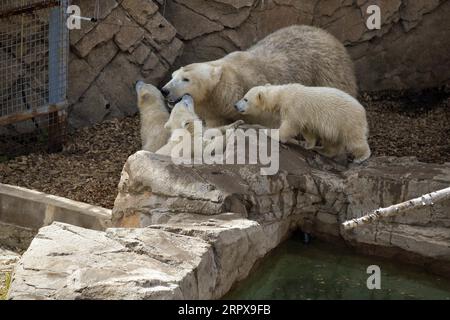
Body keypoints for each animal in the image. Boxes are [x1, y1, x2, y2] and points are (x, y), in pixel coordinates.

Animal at [234, 84, 370, 164]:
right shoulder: (304, 116)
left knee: (354, 139)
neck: (281, 95)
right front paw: (307, 144)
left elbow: (289, 126)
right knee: (332, 141)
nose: (235, 105)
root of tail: (363, 110)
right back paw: (322, 150)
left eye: (245, 99)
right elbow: (307, 130)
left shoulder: (294, 107)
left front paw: (269, 132)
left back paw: (361, 156)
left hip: (347, 120)